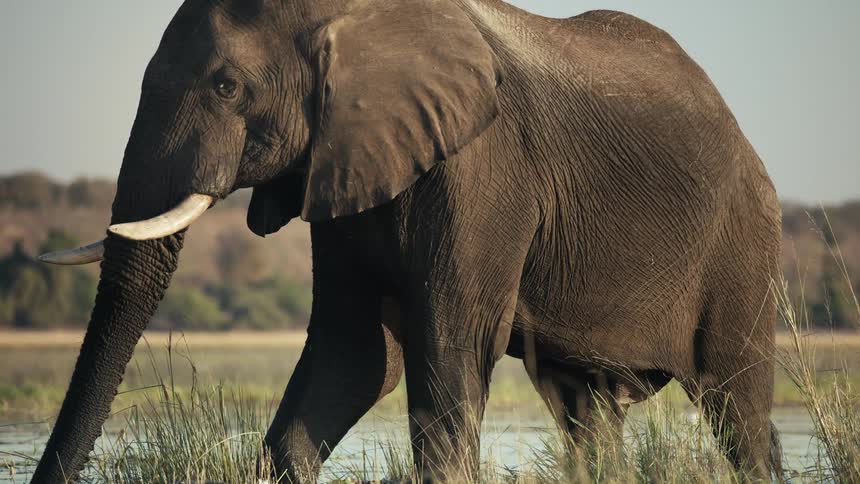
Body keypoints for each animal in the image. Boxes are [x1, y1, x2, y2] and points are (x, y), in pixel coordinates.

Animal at [34, 0, 782, 481]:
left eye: (225, 86)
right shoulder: (346, 158)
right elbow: (355, 352)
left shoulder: (483, 168)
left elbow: (449, 343)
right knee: (587, 411)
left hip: (741, 242)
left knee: (736, 402)